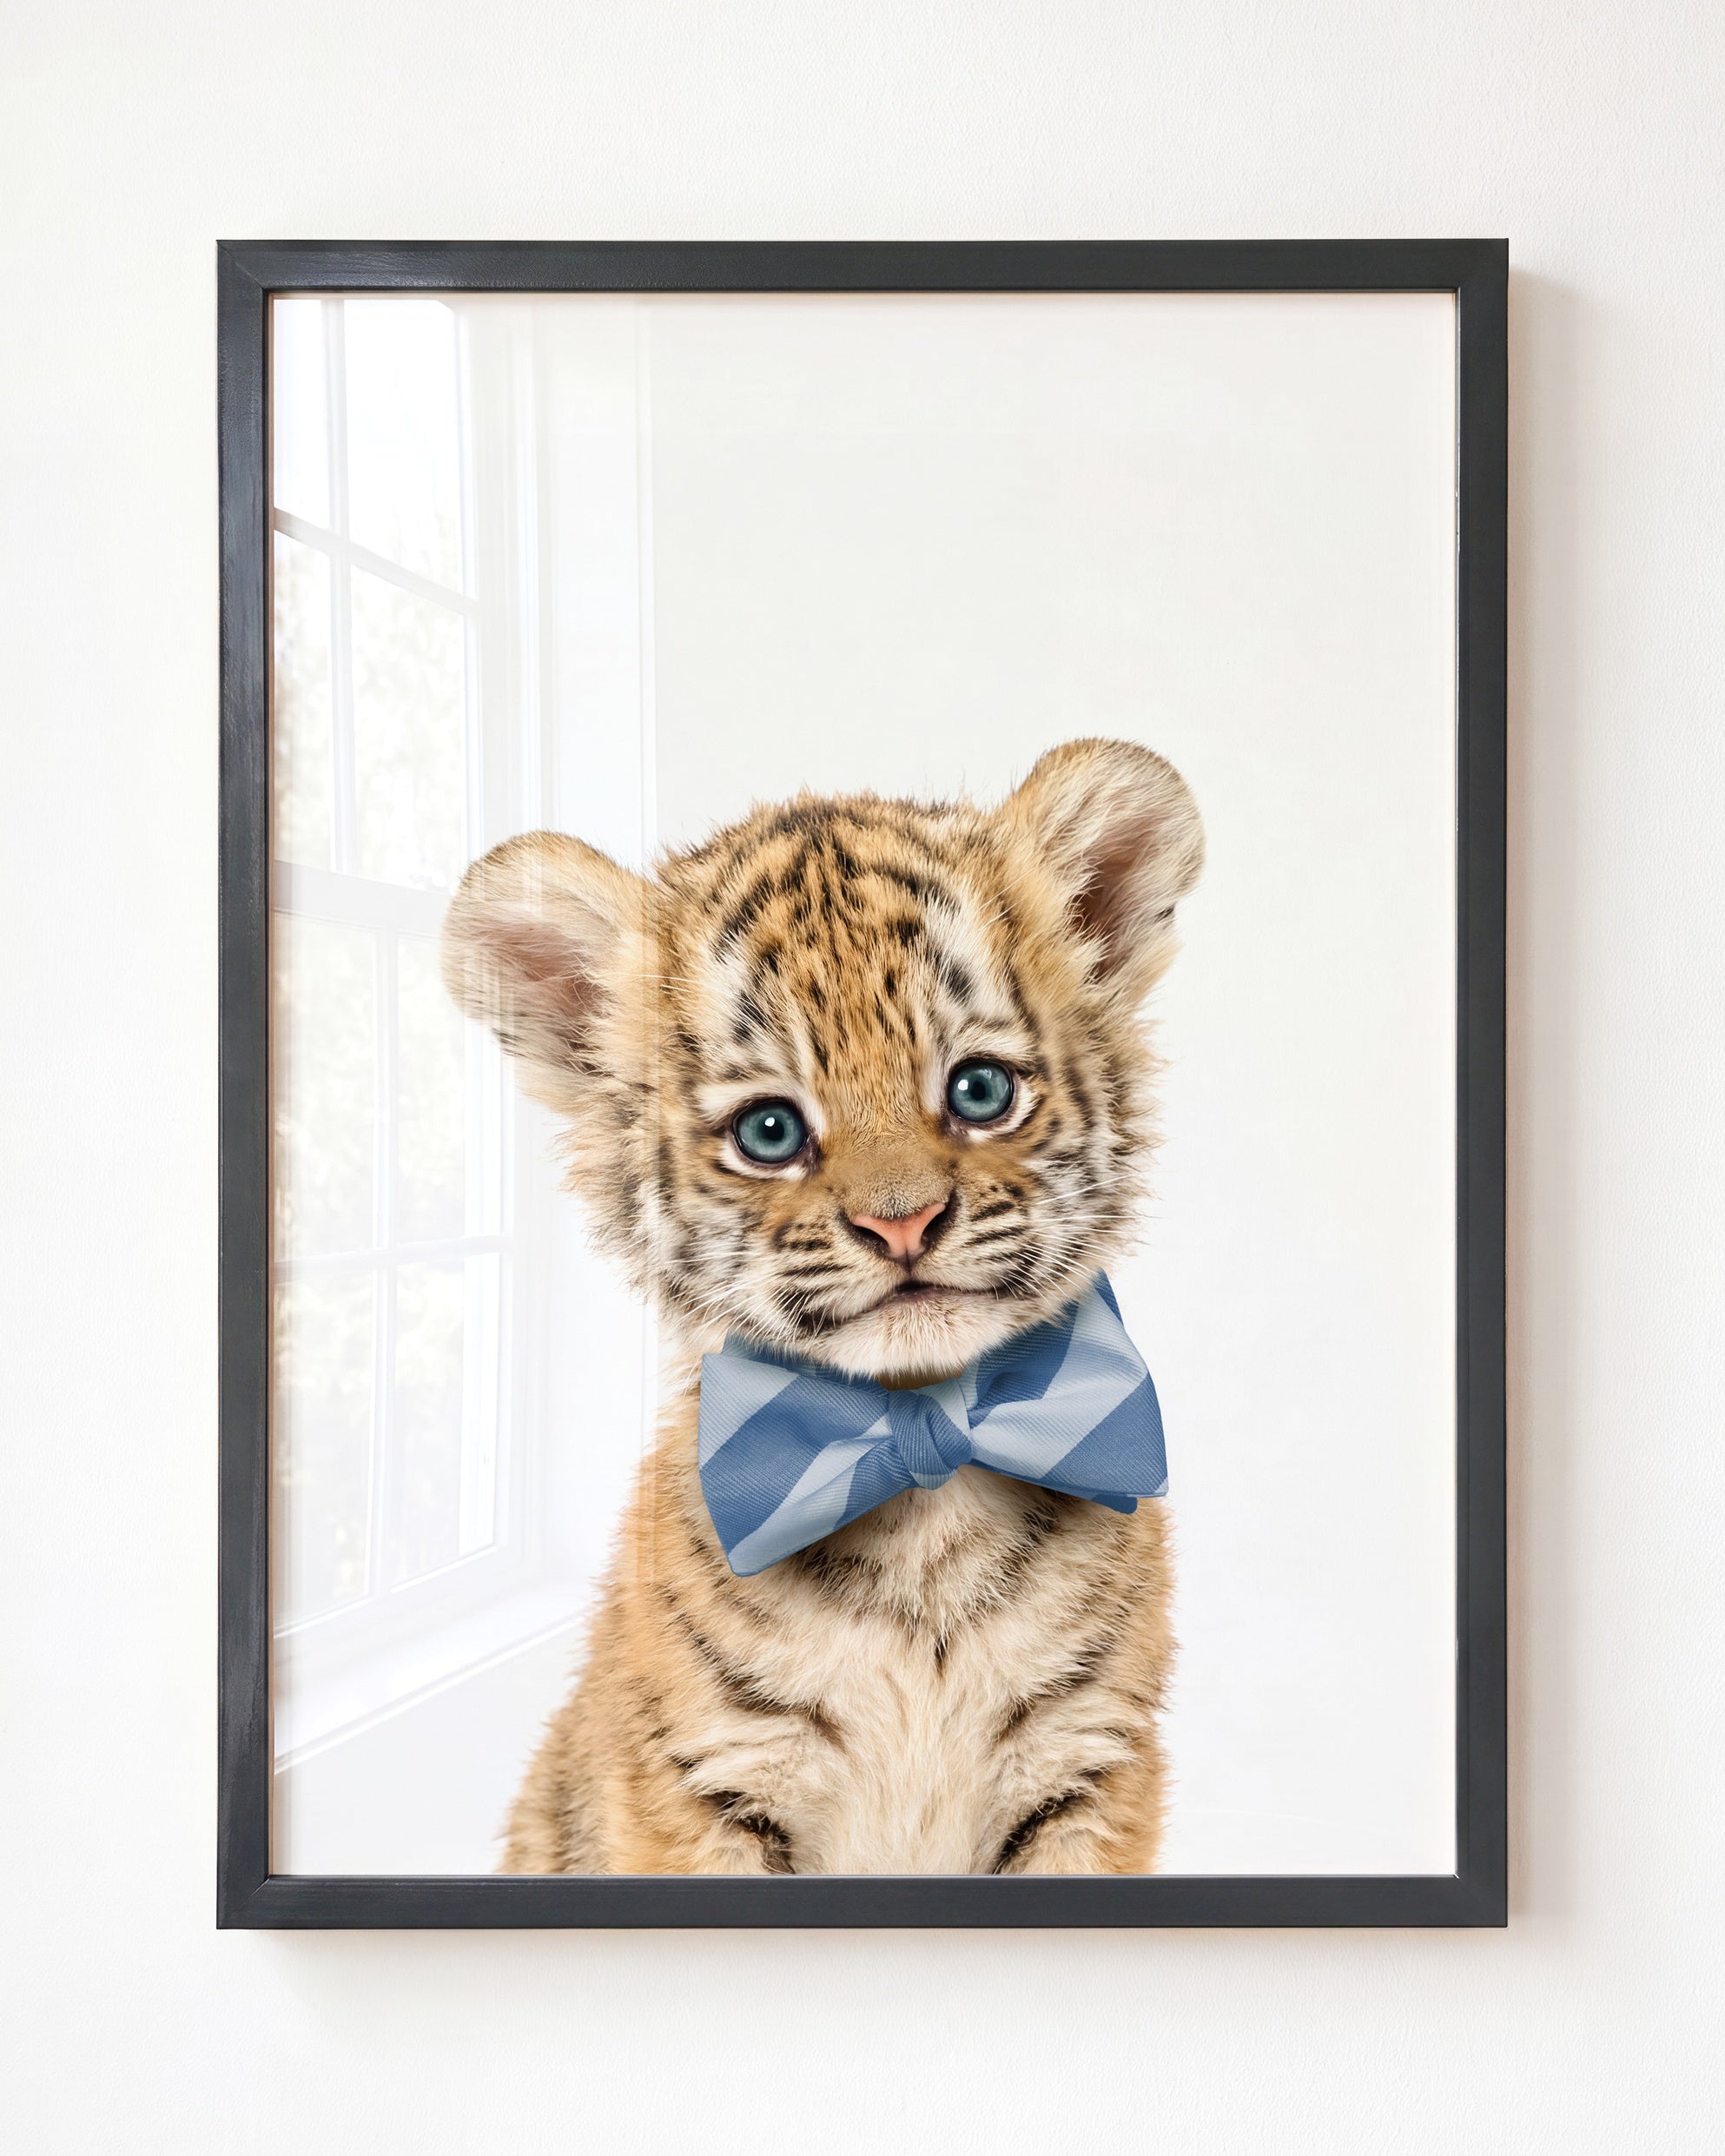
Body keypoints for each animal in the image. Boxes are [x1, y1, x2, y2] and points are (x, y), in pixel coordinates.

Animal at [441, 736, 1204, 1874]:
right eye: (769, 1131)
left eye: (981, 1091)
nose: (903, 1223)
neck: (921, 1476)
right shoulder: (703, 1782)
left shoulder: (1089, 1763)